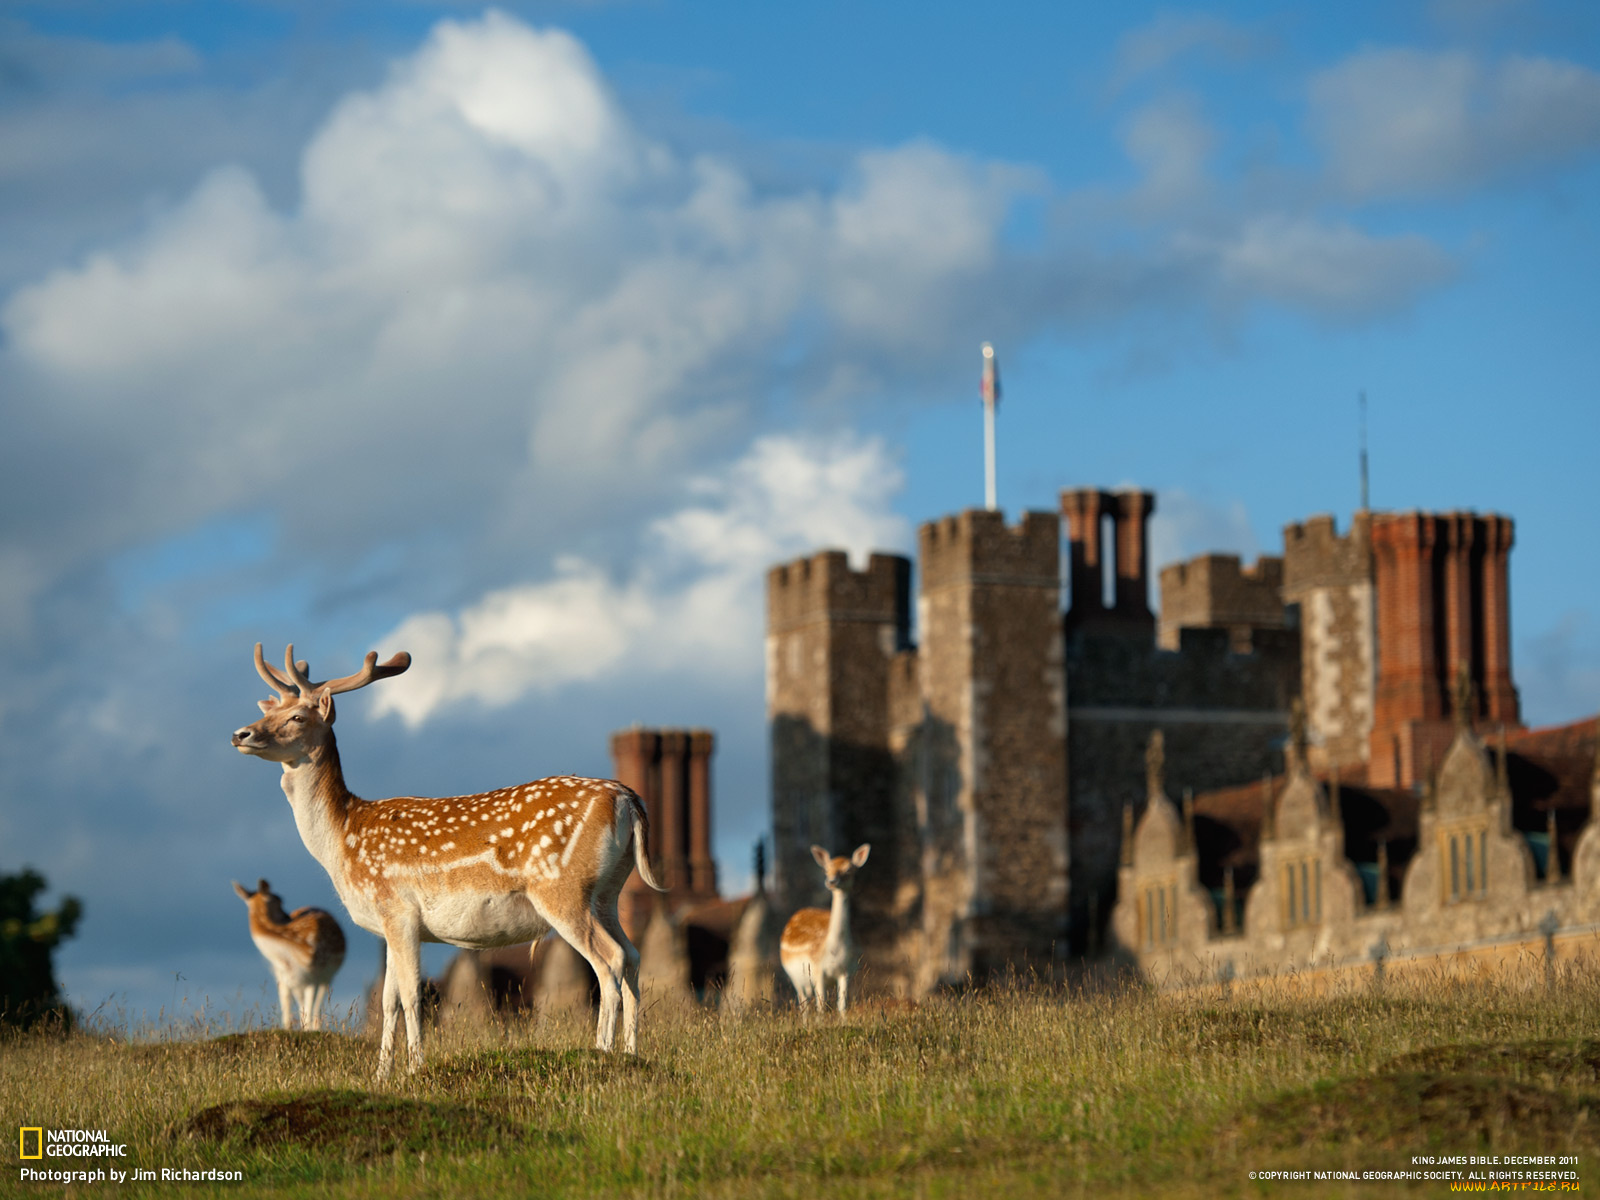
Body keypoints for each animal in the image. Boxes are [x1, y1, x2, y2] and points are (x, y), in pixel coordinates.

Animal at [228, 876, 344, 1036]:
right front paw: (289, 1029)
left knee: (316, 1002)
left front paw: (308, 1029)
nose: (287, 916)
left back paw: (316, 1027)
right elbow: (287, 1004)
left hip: (327, 976)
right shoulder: (282, 976)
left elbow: (309, 1005)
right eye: (280, 900)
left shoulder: (313, 973)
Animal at [777, 844, 870, 1017]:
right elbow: (821, 1006)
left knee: (807, 1001)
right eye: (826, 869)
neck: (834, 951)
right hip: (794, 976)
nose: (831, 881)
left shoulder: (845, 972)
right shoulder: (817, 970)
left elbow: (842, 1006)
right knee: (803, 1004)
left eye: (849, 869)